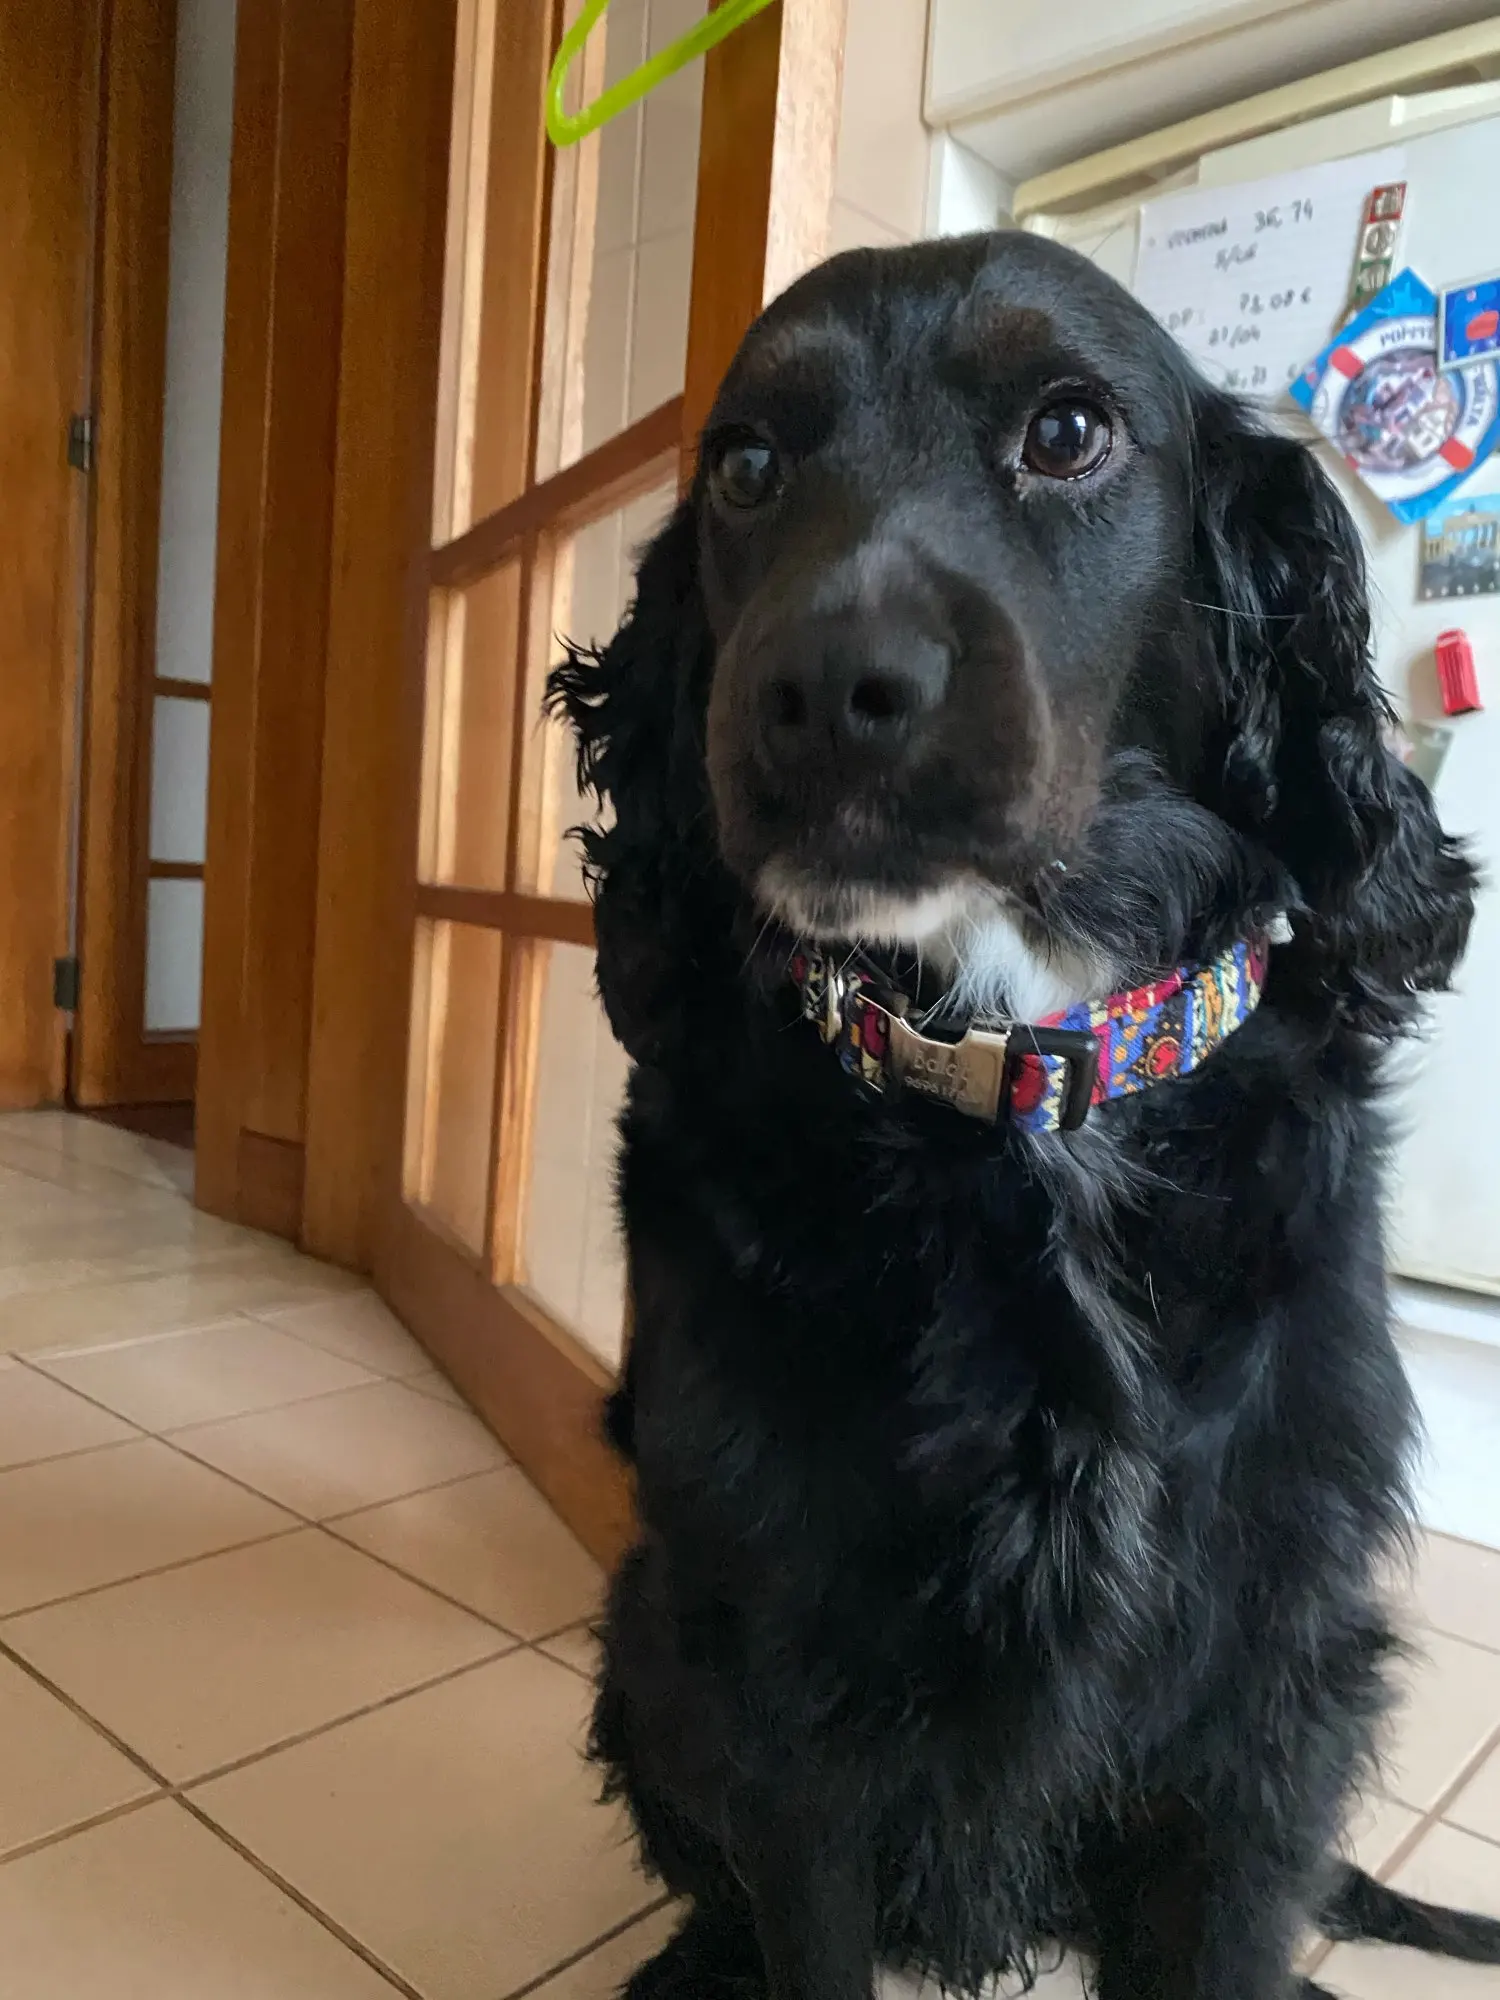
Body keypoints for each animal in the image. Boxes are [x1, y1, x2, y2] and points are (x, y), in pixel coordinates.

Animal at [550, 230, 1498, 1999]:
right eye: (748, 468)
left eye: (1067, 432)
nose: (820, 691)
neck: (1031, 1081)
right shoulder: (781, 1664)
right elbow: (804, 1929)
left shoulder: (1266, 1683)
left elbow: (1226, 1929)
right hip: (648, 1634)